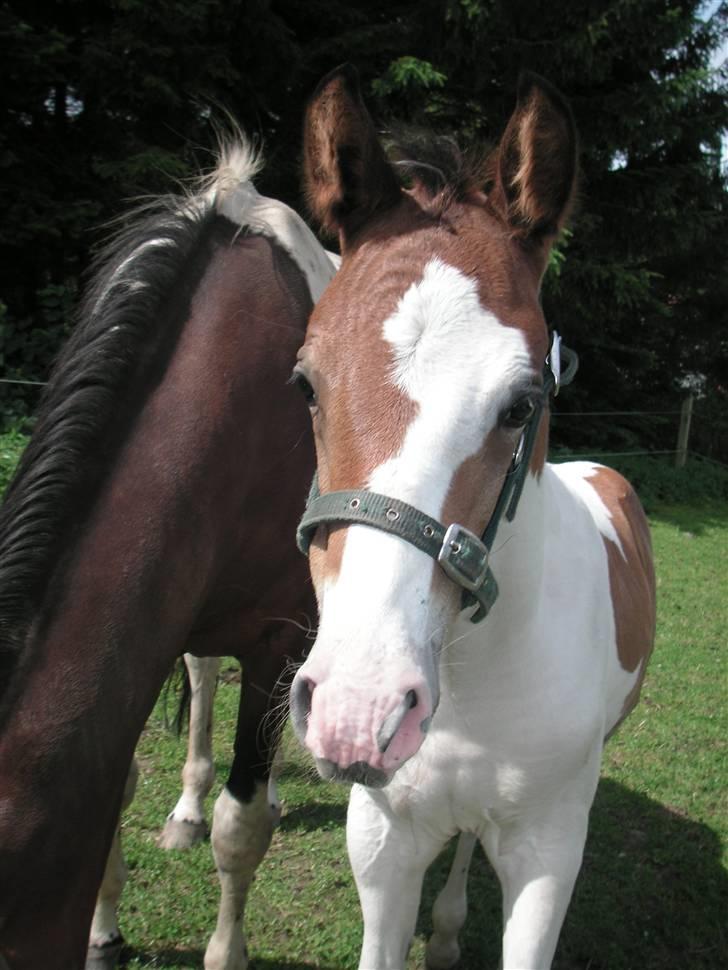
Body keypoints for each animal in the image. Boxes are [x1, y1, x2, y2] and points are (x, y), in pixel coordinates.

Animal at [0, 138, 336, 968]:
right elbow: (118, 786)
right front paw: (104, 930)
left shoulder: (276, 640)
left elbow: (241, 830)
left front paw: (227, 952)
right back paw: (186, 808)